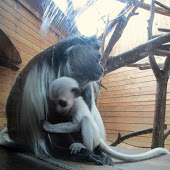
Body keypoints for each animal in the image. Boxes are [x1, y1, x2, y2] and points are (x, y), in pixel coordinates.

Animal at [4, 35, 113, 165]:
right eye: (97, 58)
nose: (101, 69)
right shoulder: (51, 81)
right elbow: (53, 120)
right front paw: (85, 153)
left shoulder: (86, 89)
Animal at [41, 76, 169, 161]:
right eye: (54, 103)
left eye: (62, 103)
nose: (58, 109)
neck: (72, 103)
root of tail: (99, 140)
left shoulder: (76, 107)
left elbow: (76, 124)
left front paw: (49, 126)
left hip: (94, 140)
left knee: (85, 121)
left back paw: (85, 147)